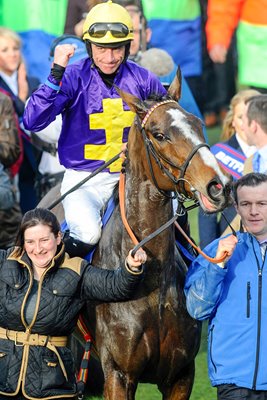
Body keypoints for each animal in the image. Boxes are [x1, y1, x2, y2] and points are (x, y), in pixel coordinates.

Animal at [39, 70, 232, 398]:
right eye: (159, 134)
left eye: (197, 123)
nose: (218, 186)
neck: (152, 284)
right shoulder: (119, 374)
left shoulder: (181, 375)